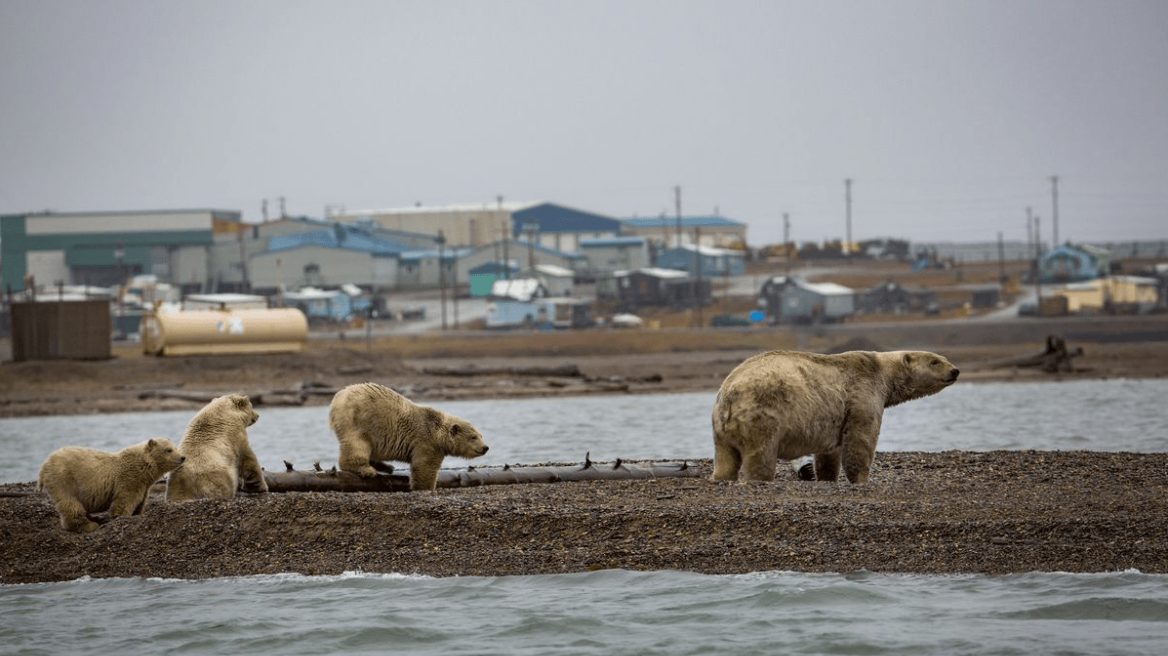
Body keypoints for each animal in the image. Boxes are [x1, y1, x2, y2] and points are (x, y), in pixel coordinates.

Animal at [710, 350, 957, 483]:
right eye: (935, 361)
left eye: (942, 357)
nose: (955, 371)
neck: (881, 371)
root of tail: (728, 397)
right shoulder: (861, 394)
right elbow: (861, 439)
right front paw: (862, 479)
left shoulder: (832, 417)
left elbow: (829, 453)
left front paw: (827, 476)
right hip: (762, 414)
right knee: (761, 454)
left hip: (721, 429)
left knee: (725, 457)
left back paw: (722, 476)